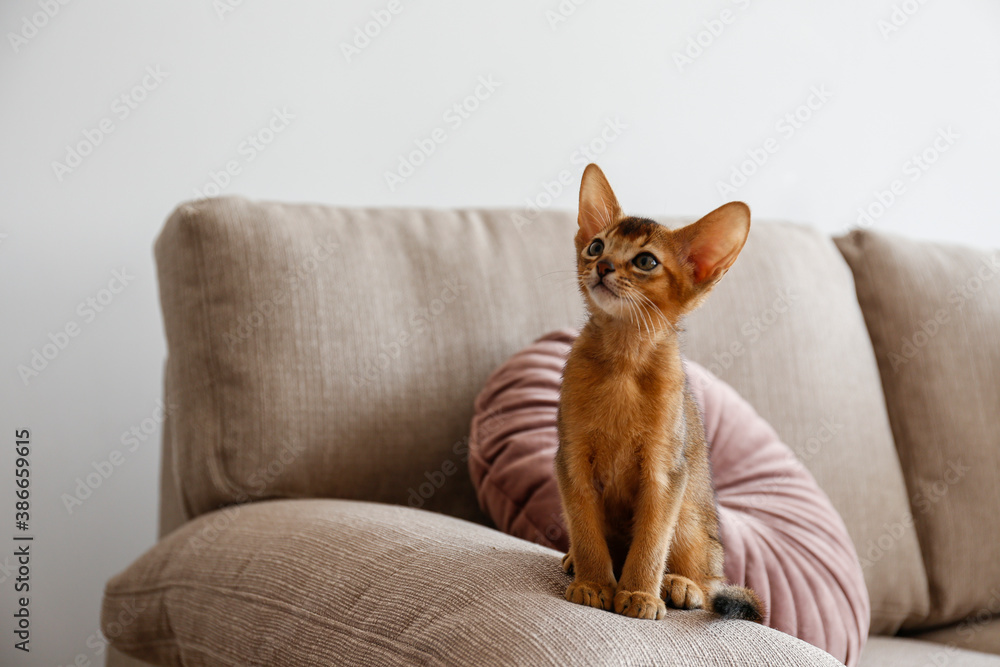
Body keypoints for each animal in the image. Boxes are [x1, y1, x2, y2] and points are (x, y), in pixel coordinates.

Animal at [560, 164, 760, 624]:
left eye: (646, 261)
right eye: (596, 246)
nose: (603, 266)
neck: (622, 363)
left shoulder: (665, 472)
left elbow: (651, 541)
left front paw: (638, 593)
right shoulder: (572, 458)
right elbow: (585, 530)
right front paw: (593, 583)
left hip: (690, 516)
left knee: (710, 581)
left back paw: (679, 586)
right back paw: (576, 563)